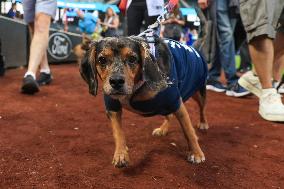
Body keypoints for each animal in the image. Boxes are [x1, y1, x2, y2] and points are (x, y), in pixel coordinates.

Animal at [79, 36, 209, 168]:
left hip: (198, 92)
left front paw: (196, 153)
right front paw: (121, 154)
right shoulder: (112, 106)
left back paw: (203, 123)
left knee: (202, 109)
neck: (136, 87)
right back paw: (163, 129)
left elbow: (188, 130)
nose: (116, 81)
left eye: (132, 59)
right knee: (169, 115)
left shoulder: (175, 101)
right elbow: (118, 132)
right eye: (102, 60)